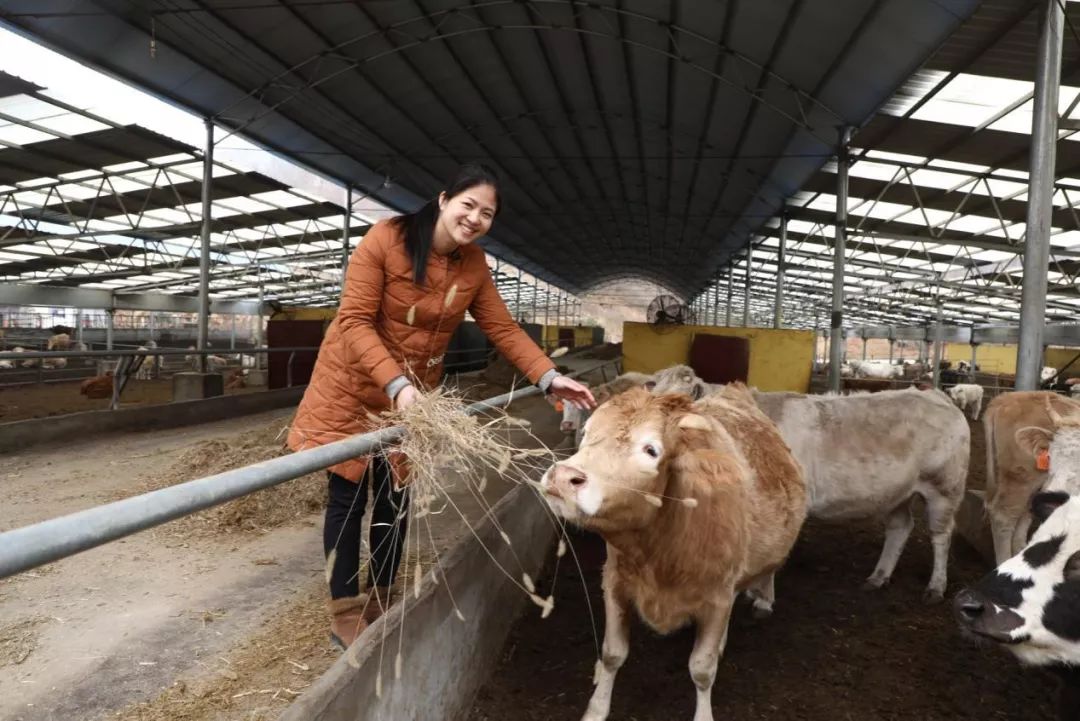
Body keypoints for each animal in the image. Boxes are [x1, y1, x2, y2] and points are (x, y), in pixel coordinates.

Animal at [544, 386, 807, 716]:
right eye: (587, 432)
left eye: (651, 450)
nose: (563, 476)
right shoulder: (615, 581)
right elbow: (612, 654)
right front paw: (596, 709)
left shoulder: (717, 598)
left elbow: (702, 669)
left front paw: (704, 715)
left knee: (770, 568)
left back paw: (764, 600)